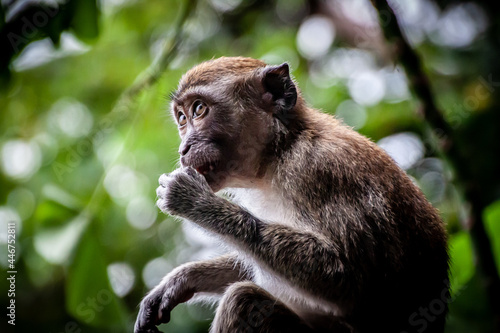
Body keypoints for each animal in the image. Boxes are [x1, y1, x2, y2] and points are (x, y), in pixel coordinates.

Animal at [134, 57, 450, 332]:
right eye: (181, 118)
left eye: (199, 109)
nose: (183, 148)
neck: (282, 149)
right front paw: (182, 280)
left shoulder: (319, 170)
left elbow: (350, 280)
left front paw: (195, 201)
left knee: (242, 301)